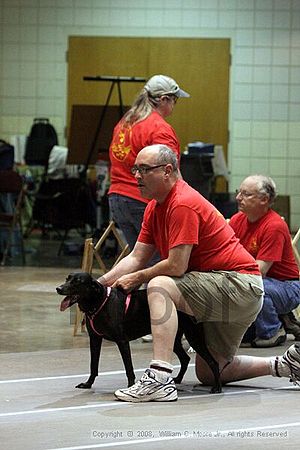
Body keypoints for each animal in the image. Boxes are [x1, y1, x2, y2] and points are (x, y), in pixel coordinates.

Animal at [56, 270, 220, 394]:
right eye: (67, 279)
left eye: (77, 282)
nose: (58, 288)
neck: (99, 302)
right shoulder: (95, 339)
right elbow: (93, 365)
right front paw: (88, 384)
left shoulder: (122, 341)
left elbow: (129, 367)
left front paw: (130, 386)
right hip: (173, 338)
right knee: (185, 359)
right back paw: (178, 379)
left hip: (193, 336)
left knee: (213, 361)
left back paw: (216, 387)